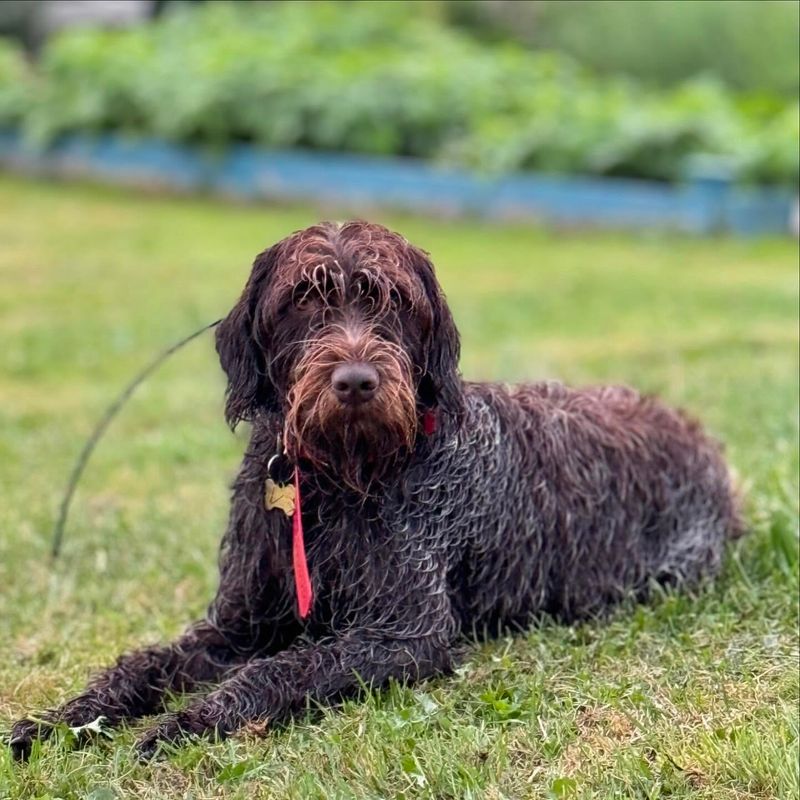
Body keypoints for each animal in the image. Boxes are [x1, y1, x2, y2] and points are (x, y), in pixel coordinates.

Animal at [9, 222, 740, 760]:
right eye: (305, 298)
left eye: (393, 301)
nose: (356, 381)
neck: (338, 477)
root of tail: (702, 440)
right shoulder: (238, 625)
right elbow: (141, 667)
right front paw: (63, 720)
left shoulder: (404, 634)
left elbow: (280, 670)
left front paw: (184, 724)